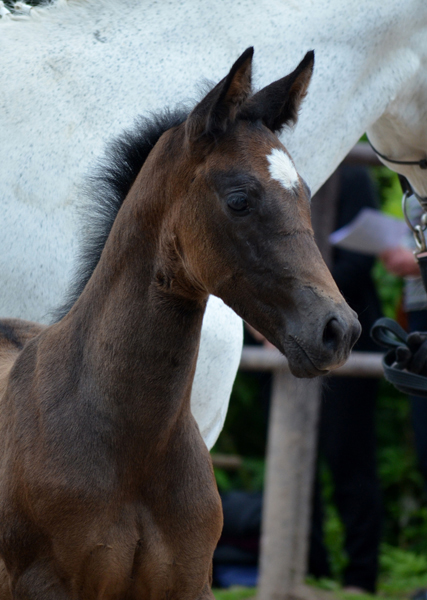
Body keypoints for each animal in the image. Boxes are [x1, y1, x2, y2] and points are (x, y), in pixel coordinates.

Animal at [0, 49, 360, 596]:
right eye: (239, 199)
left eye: (304, 196)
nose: (339, 330)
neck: (136, 448)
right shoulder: (43, 585)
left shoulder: (189, 581)